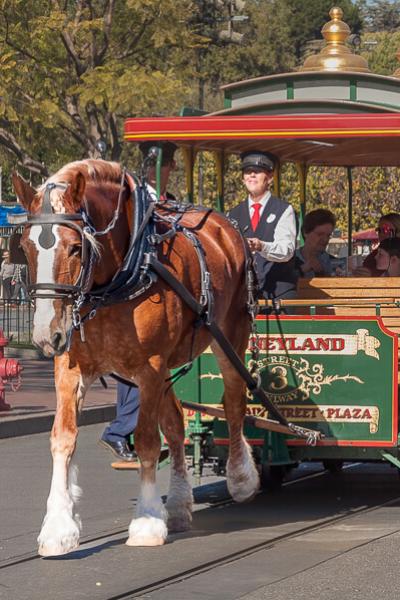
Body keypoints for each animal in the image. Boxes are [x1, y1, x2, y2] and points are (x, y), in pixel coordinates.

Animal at [12, 161, 260, 556]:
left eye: (75, 247)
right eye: (24, 247)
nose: (44, 336)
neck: (117, 280)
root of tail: (227, 228)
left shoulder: (150, 367)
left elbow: (146, 440)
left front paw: (146, 522)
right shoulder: (70, 368)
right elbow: (62, 438)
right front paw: (58, 529)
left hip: (231, 336)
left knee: (234, 401)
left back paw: (241, 478)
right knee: (175, 423)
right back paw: (178, 505)